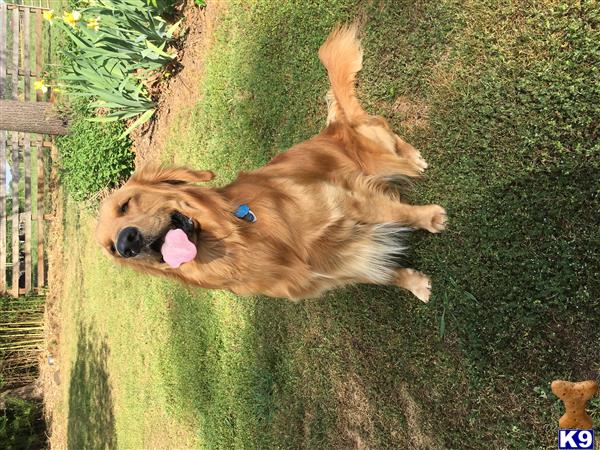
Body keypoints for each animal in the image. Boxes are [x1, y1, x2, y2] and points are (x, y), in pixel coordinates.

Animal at [96, 22, 448, 300]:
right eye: (112, 250)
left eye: (126, 204)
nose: (127, 243)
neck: (240, 238)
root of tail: (334, 127)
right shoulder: (329, 268)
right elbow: (379, 271)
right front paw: (413, 282)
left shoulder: (342, 199)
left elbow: (397, 212)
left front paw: (430, 217)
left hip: (375, 148)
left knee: (381, 127)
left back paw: (412, 159)